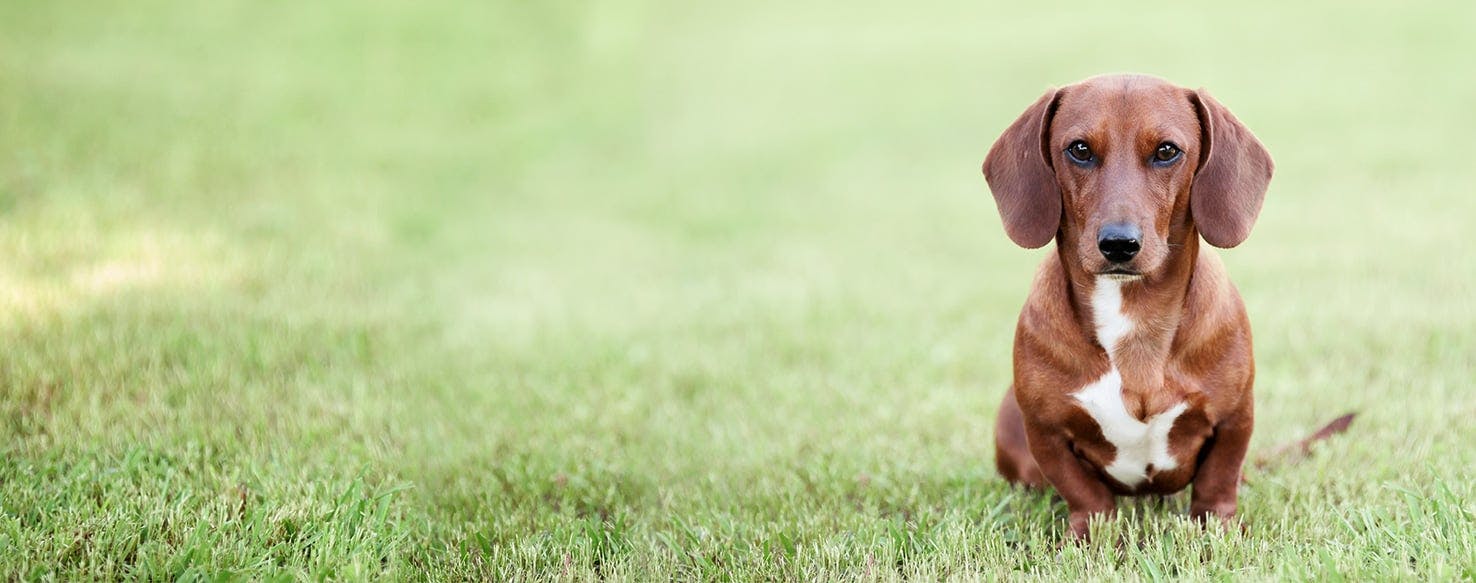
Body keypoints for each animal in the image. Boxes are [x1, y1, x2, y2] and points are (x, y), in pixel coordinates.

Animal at [980, 75, 1269, 540]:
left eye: (1167, 150)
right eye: (1079, 149)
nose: (1118, 244)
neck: (1132, 314)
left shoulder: (1234, 418)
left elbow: (1218, 482)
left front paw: (1216, 531)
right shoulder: (1046, 433)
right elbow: (1085, 494)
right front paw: (1091, 536)